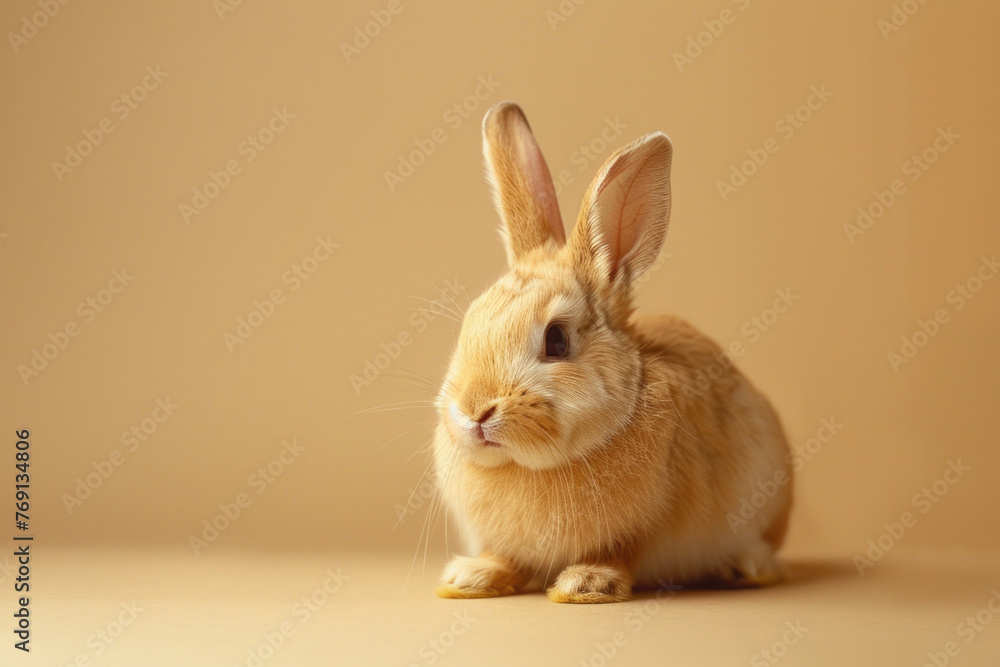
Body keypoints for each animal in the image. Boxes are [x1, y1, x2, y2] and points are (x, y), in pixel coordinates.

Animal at [431, 101, 792, 603]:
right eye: (469, 322)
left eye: (557, 340)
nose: (473, 411)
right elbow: (506, 557)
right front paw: (470, 577)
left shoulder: (646, 525)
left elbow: (620, 552)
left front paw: (585, 585)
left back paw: (750, 568)